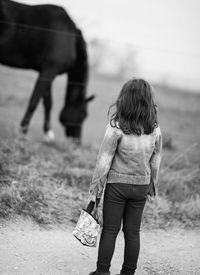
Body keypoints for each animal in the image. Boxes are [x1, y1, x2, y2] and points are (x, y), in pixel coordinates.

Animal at [0, 0, 94, 142]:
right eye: (83, 115)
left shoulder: (46, 71)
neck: (70, 37)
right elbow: (34, 101)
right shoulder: (49, 71)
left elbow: (48, 103)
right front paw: (22, 132)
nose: (76, 142)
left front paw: (48, 133)